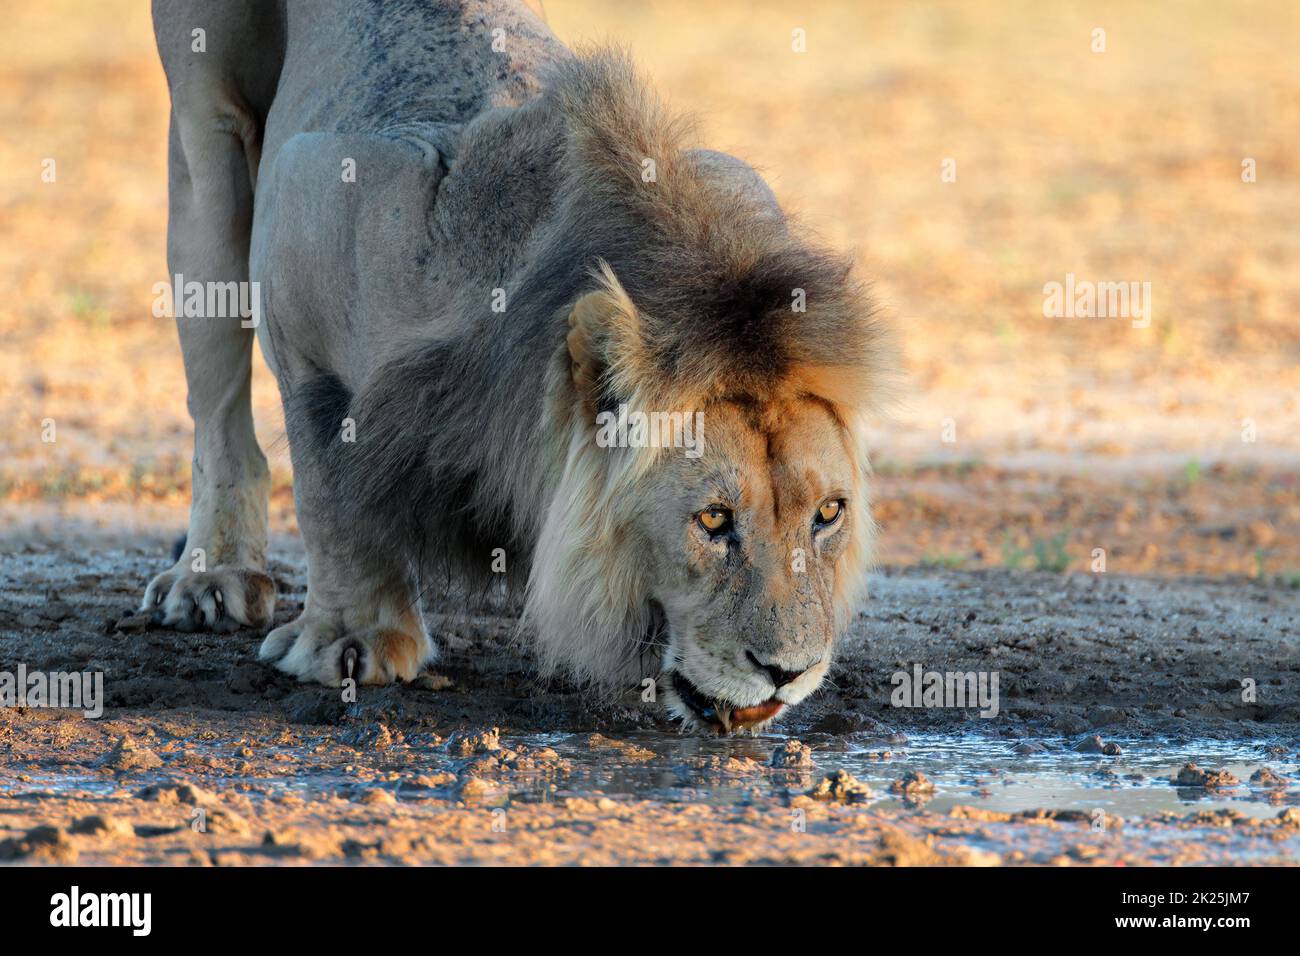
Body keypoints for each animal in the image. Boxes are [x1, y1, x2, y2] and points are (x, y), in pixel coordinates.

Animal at [142, 0, 894, 733]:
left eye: (829, 513)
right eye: (712, 520)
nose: (790, 671)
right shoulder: (305, 229)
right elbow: (329, 490)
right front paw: (351, 640)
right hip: (206, 144)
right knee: (218, 405)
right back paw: (212, 578)